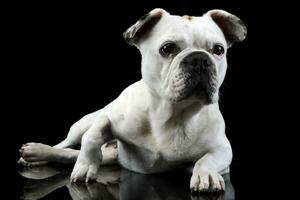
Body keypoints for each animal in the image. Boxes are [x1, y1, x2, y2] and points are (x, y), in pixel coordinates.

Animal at [18, 8, 247, 192]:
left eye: (218, 50)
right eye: (168, 48)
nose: (199, 59)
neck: (172, 114)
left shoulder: (223, 148)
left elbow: (208, 159)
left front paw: (205, 175)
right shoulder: (108, 117)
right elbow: (92, 137)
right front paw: (85, 167)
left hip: (111, 157)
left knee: (70, 155)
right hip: (81, 125)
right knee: (66, 144)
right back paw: (36, 152)